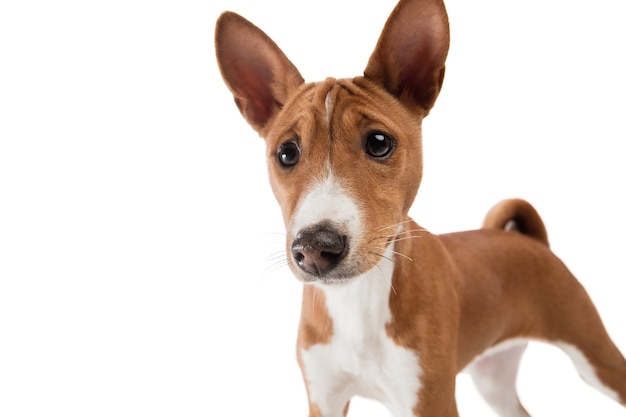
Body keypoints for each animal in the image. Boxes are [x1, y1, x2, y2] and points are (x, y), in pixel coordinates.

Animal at [213, 0, 620, 416]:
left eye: (379, 142)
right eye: (286, 153)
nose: (315, 248)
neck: (358, 302)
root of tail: (530, 242)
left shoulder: (431, 400)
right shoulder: (324, 398)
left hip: (596, 355)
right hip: (493, 379)